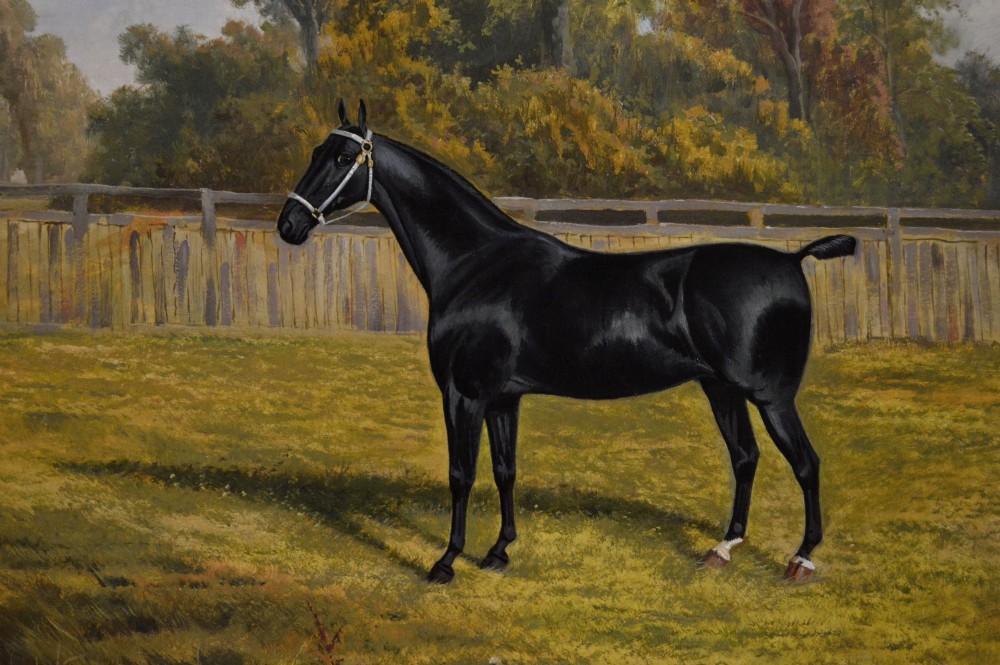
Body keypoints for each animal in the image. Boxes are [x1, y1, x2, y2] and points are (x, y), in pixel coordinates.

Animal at [277, 100, 856, 585]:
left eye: (344, 156)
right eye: (316, 152)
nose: (289, 224)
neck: (477, 263)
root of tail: (791, 259)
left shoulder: (464, 394)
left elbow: (462, 474)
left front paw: (446, 562)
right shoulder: (503, 398)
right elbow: (505, 471)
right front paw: (498, 552)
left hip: (771, 396)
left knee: (806, 464)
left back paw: (801, 560)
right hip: (722, 391)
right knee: (745, 458)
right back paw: (722, 549)